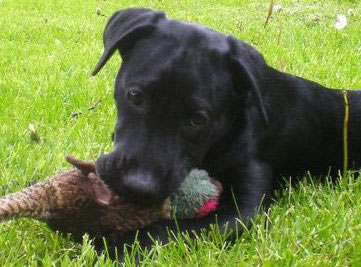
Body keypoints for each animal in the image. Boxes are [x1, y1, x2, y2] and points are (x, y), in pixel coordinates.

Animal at [92, 6, 360, 253]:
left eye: (198, 120)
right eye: (135, 96)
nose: (137, 187)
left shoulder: (244, 207)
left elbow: (170, 230)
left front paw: (115, 247)